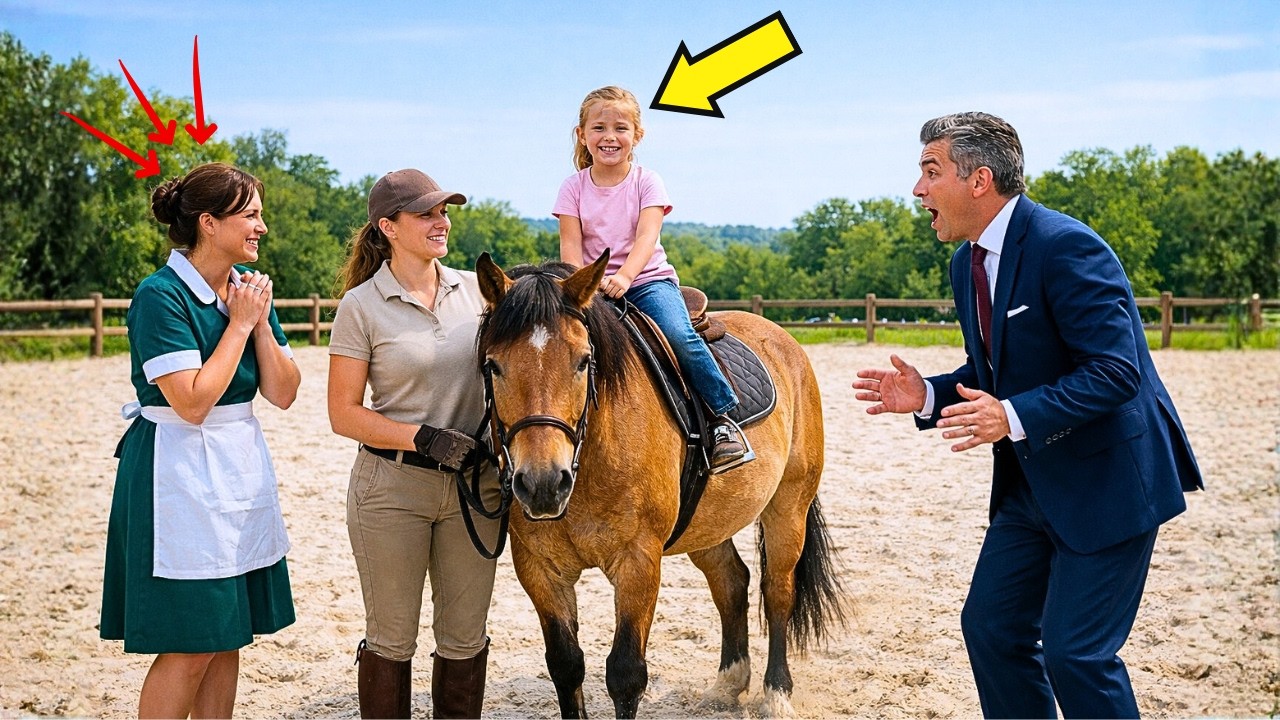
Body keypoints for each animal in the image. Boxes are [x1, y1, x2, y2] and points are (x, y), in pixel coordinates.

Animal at [475, 251, 845, 718]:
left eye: (583, 361)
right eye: (493, 365)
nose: (543, 483)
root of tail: (785, 341)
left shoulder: (639, 561)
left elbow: (626, 673)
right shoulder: (540, 568)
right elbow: (566, 665)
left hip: (789, 505)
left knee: (778, 590)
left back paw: (776, 694)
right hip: (707, 523)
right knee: (731, 582)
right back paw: (728, 684)